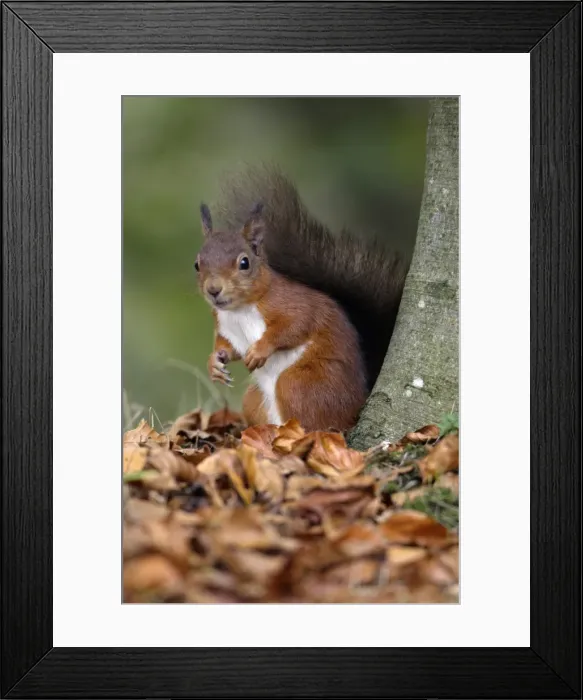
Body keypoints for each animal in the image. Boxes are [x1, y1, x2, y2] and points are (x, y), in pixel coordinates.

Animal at [194, 166, 407, 432]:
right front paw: (214, 362)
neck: (239, 311)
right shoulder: (226, 326)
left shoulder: (290, 303)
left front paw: (259, 350)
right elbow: (228, 347)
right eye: (197, 264)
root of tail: (355, 411)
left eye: (244, 263)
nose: (213, 290)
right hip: (254, 399)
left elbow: (295, 325)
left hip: (300, 384)